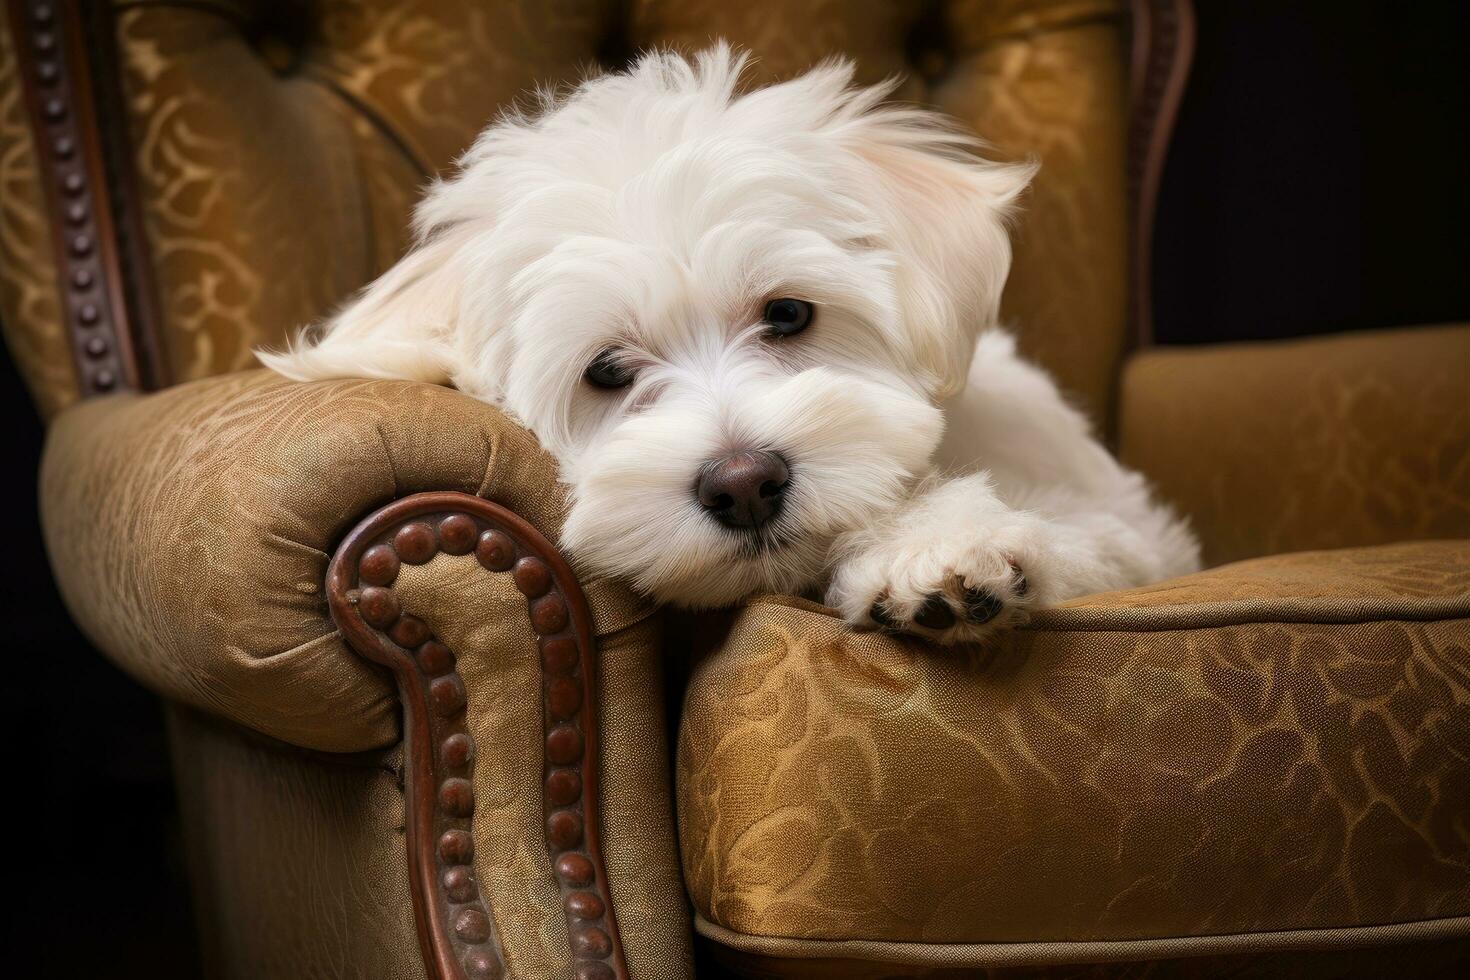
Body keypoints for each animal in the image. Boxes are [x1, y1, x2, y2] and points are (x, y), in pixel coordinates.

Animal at [258, 44, 1199, 643]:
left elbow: (1087, 535)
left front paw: (934, 547)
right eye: (606, 371)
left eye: (787, 315)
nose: (744, 485)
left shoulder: (1136, 529)